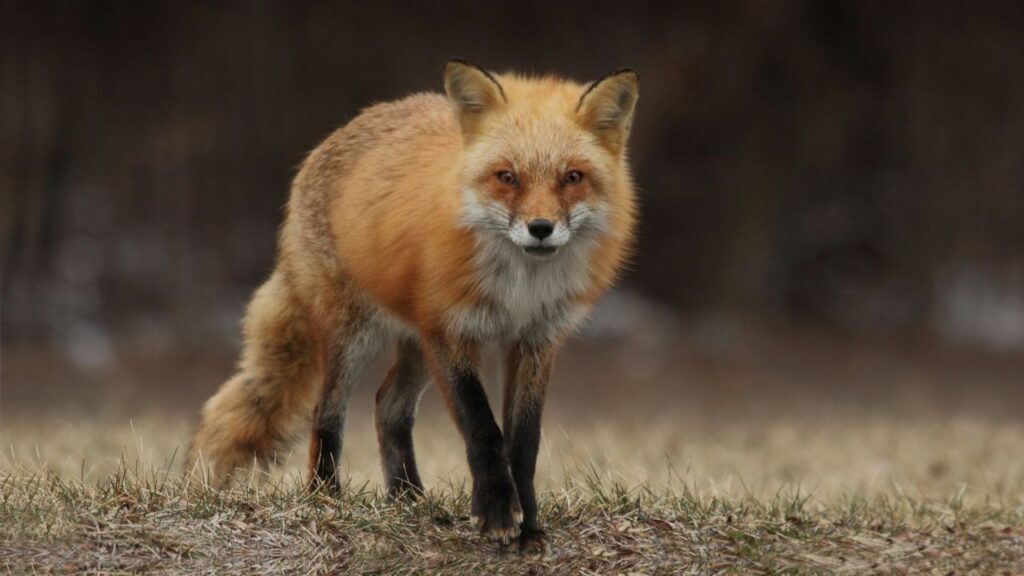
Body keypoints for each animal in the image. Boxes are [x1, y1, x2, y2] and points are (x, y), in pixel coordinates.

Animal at [186, 59, 639, 550]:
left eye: (572, 177)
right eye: (507, 177)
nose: (541, 228)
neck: (519, 288)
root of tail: (342, 131)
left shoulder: (535, 341)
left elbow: (523, 441)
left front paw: (530, 525)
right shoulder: (451, 332)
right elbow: (483, 429)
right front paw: (497, 512)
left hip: (417, 344)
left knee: (388, 407)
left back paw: (407, 498)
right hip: (356, 335)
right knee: (327, 414)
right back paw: (326, 496)